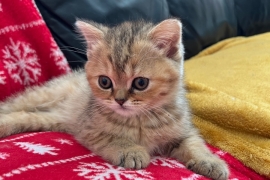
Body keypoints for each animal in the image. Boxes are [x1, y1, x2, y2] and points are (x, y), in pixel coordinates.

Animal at [0, 19, 228, 179]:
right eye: (104, 82)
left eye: (140, 83)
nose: (119, 100)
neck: (139, 120)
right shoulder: (87, 128)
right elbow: (112, 138)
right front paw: (132, 151)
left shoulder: (183, 129)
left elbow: (195, 143)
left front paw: (211, 162)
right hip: (43, 96)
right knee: (13, 105)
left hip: (47, 118)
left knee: (24, 116)